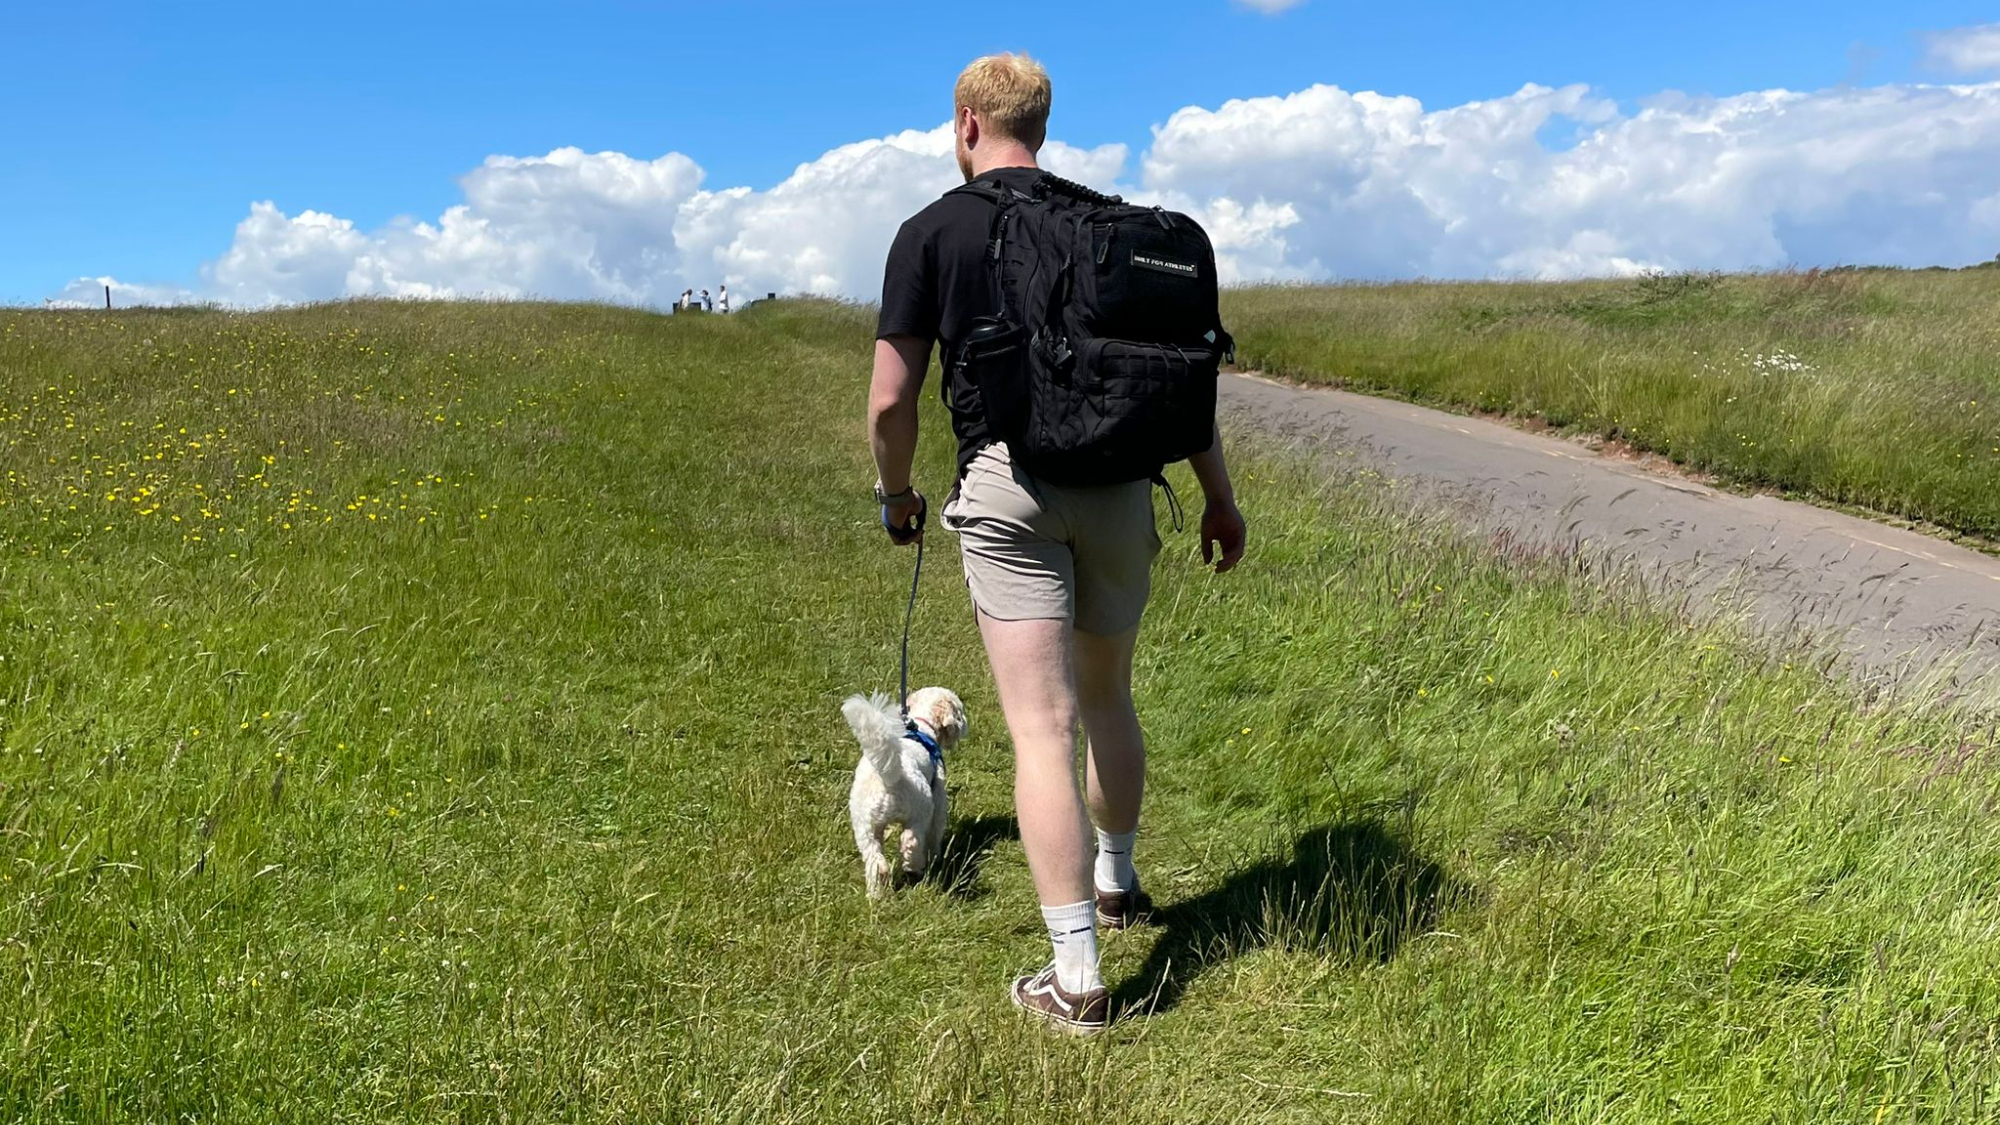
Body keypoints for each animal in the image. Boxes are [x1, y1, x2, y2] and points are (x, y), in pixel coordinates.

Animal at [844, 684, 968, 892]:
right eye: (959, 711)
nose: (965, 724)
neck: (922, 726)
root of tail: (888, 778)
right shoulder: (939, 799)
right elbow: (935, 834)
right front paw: (936, 857)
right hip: (919, 812)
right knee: (911, 842)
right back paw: (915, 869)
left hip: (865, 825)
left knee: (876, 861)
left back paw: (875, 893)